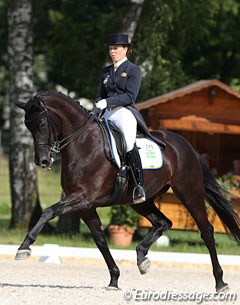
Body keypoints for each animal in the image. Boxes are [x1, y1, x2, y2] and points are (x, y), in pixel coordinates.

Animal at [15, 91, 240, 290]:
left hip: (189, 192)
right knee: (163, 223)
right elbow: (100, 239)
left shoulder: (84, 198)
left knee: (206, 230)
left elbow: (48, 212)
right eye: (27, 126)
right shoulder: (85, 206)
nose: (43, 161)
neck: (84, 144)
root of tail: (187, 146)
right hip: (142, 201)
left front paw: (24, 247)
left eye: (42, 124)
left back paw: (220, 282)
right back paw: (142, 257)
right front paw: (114, 279)